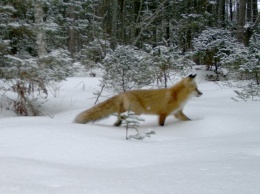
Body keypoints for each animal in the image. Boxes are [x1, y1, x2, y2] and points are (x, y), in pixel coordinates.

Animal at [74, 74, 202, 126]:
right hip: (136, 111)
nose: (201, 93)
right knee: (122, 117)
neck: (176, 95)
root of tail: (123, 93)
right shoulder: (163, 114)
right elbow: (161, 124)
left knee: (118, 118)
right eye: (196, 88)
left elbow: (188, 119)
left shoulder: (177, 113)